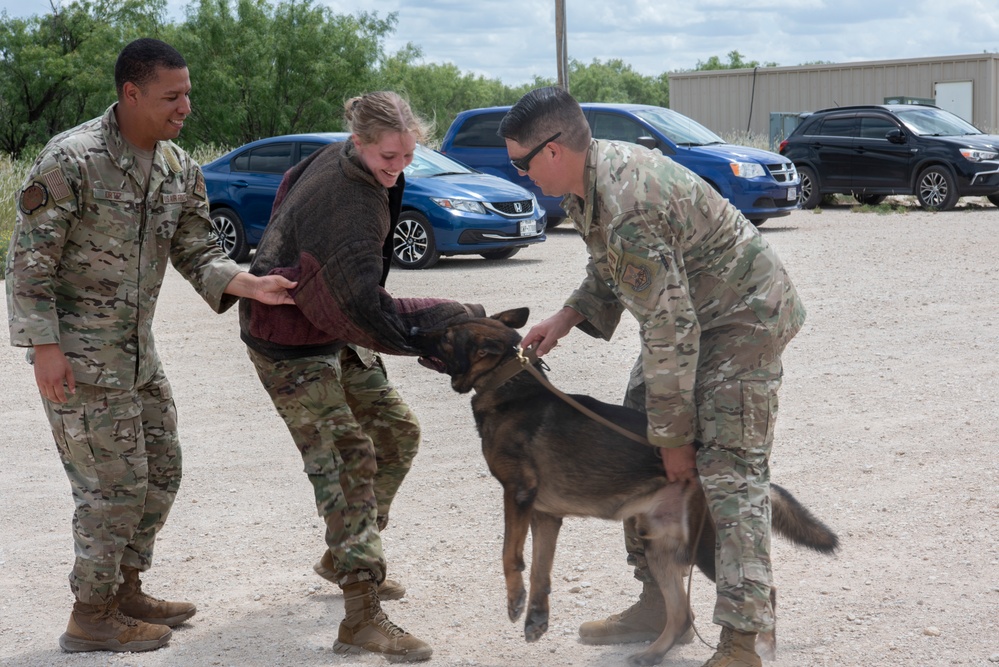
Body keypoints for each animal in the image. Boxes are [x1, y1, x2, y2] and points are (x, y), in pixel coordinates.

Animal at [410, 310, 840, 664]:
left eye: (446, 336)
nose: (413, 330)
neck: (508, 386)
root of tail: (714, 466)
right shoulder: (546, 516)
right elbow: (541, 571)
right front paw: (536, 618)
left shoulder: (517, 495)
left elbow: (509, 556)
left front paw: (515, 602)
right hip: (659, 546)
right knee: (681, 614)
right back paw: (652, 653)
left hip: (707, 548)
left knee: (761, 592)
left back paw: (760, 647)